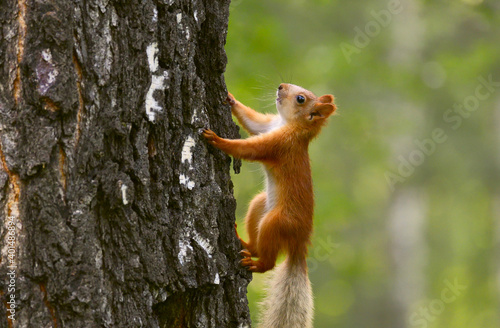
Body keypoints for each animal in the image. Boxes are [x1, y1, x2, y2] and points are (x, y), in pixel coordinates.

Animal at [202, 83, 336, 326]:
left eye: (301, 99)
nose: (281, 86)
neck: (289, 125)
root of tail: (300, 242)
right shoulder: (268, 126)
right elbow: (254, 122)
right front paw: (231, 99)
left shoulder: (279, 144)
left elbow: (248, 149)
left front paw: (217, 139)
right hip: (260, 205)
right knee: (257, 242)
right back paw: (244, 243)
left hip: (276, 222)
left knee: (270, 262)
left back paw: (257, 264)